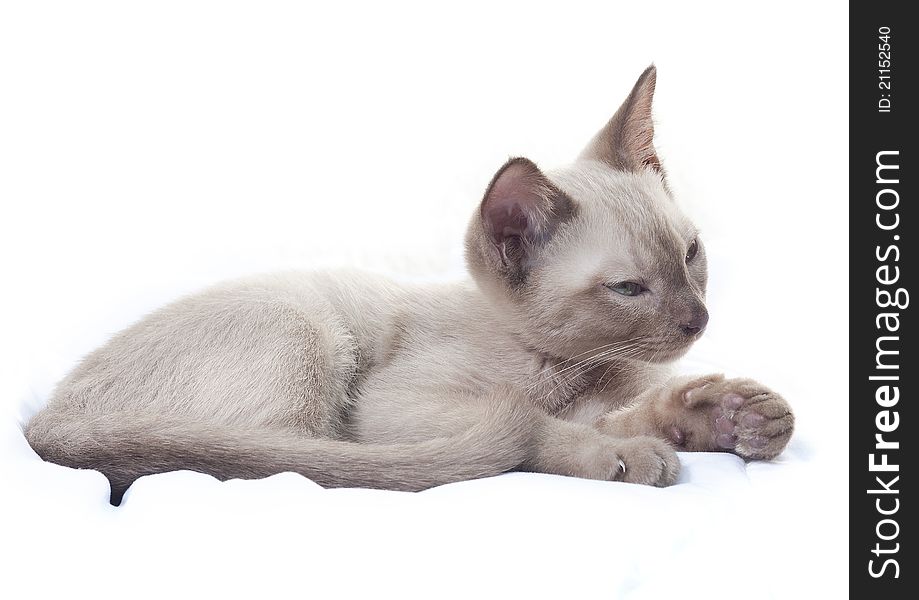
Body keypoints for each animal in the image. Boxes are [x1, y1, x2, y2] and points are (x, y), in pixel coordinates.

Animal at [25, 67, 796, 506]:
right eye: (630, 289)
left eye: (690, 253)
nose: (697, 320)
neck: (574, 369)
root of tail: (45, 418)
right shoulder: (399, 405)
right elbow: (545, 426)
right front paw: (626, 453)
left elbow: (624, 409)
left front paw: (729, 418)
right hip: (305, 336)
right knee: (301, 462)